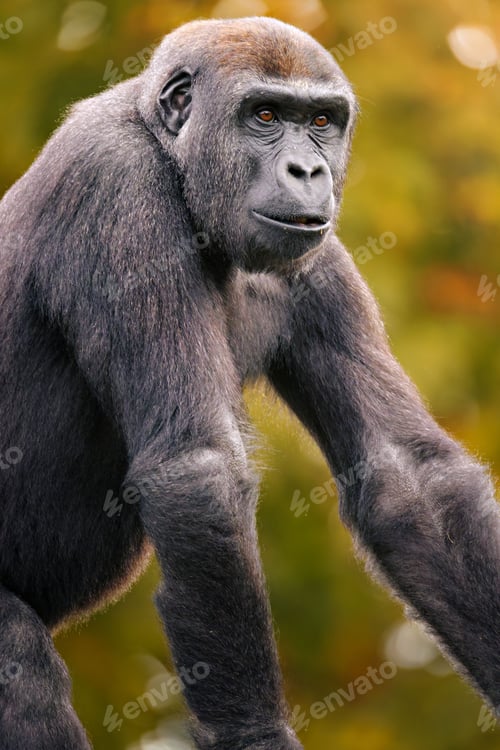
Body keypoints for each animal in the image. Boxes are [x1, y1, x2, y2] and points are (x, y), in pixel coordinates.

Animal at [0, 16, 498, 750]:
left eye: (320, 121)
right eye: (264, 116)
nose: (309, 171)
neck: (167, 146)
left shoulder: (322, 258)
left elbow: (408, 477)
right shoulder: (118, 187)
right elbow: (198, 470)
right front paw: (256, 735)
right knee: (19, 665)